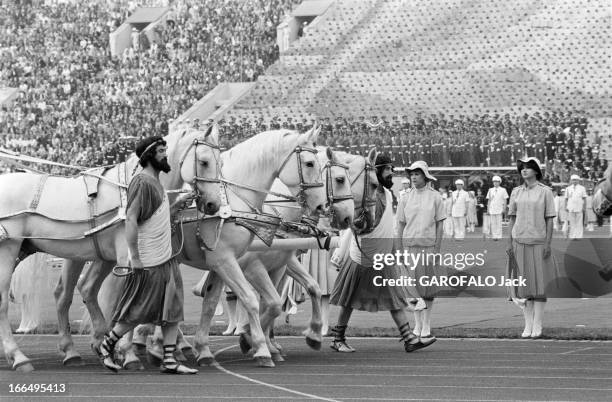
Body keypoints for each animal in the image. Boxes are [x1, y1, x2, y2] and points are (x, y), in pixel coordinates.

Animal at [0, 125, 222, 370]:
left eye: (220, 162)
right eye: (204, 161)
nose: (213, 204)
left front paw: (115, 346)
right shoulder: (127, 258)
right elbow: (128, 303)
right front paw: (127, 352)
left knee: (74, 291)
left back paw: (74, 350)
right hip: (8, 250)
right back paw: (18, 356)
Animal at [75, 128, 330, 368]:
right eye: (310, 163)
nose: (321, 206)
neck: (235, 203)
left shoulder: (226, 263)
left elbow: (213, 304)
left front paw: (207, 349)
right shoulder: (233, 261)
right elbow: (253, 300)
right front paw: (259, 346)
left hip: (107, 255)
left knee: (89, 287)